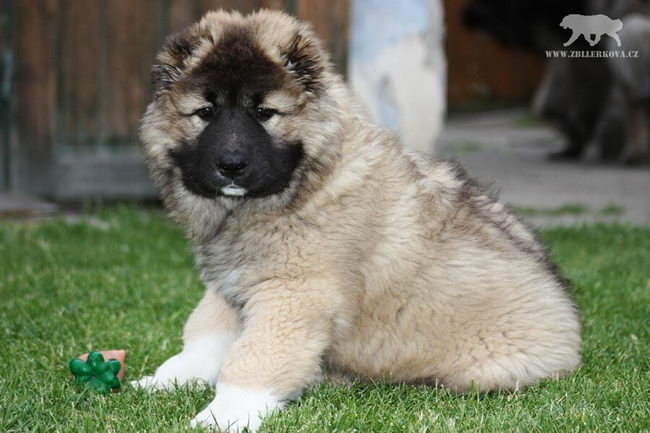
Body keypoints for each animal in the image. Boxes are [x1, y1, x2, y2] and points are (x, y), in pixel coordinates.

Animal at [134, 8, 580, 430]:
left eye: (264, 112)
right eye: (205, 112)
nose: (230, 165)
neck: (305, 185)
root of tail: (570, 327)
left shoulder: (295, 292)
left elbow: (255, 356)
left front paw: (225, 414)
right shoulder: (232, 284)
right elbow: (205, 335)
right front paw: (166, 380)